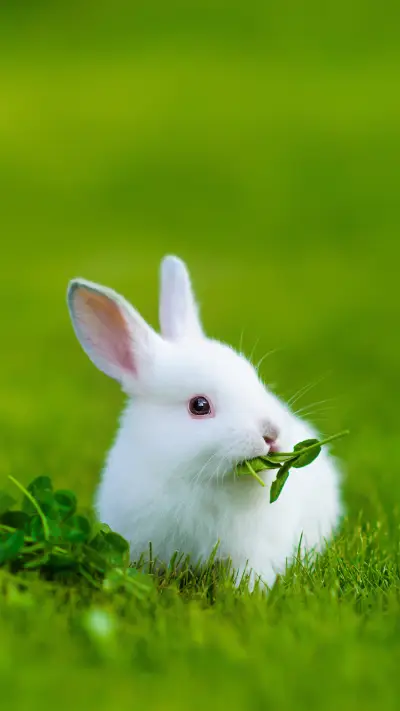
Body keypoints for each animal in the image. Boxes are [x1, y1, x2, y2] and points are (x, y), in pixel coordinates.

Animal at [67, 255, 342, 589]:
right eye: (199, 406)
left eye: (257, 380)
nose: (271, 434)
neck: (196, 479)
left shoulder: (253, 550)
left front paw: (249, 595)